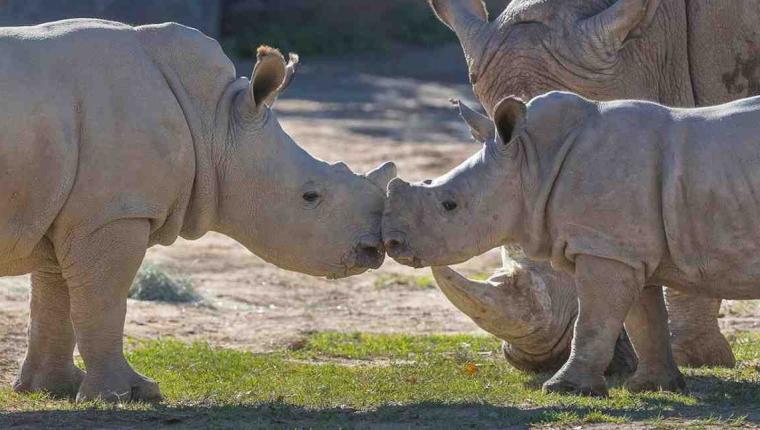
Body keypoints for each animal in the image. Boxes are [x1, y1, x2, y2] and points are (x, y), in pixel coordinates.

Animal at [1, 19, 395, 402]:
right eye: (310, 196)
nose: (373, 248)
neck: (214, 123)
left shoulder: (67, 212)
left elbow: (54, 301)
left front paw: (53, 389)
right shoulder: (113, 212)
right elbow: (102, 303)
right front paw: (127, 394)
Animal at [384, 91, 760, 396]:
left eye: (449, 205)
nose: (392, 242)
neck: (533, 163)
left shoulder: (603, 248)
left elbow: (593, 321)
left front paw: (564, 389)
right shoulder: (625, 247)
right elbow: (644, 319)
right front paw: (653, 387)